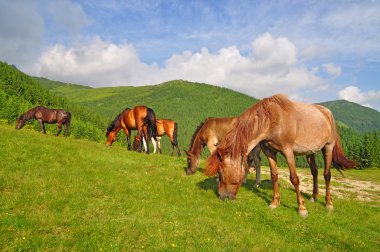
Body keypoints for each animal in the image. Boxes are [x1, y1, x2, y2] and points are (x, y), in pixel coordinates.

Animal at [205, 94, 356, 217]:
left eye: (221, 173)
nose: (222, 196)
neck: (271, 121)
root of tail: (327, 114)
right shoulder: (270, 152)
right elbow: (274, 176)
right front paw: (274, 202)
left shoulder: (288, 151)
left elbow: (294, 178)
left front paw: (302, 208)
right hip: (310, 152)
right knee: (314, 172)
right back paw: (313, 197)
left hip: (328, 147)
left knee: (327, 175)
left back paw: (328, 203)